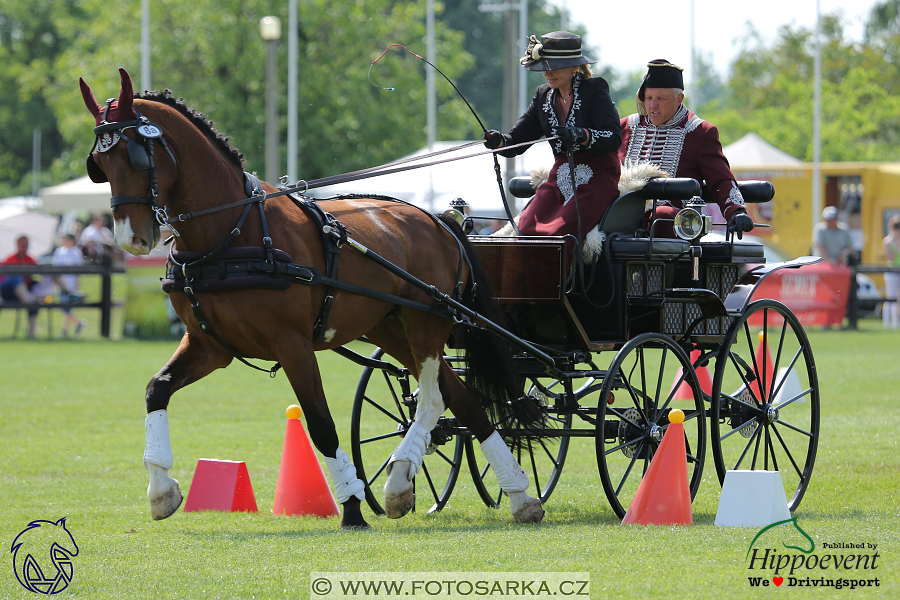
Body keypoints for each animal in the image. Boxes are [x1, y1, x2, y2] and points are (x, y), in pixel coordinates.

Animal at [79, 69, 540, 528]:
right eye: (99, 164)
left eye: (136, 157)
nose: (131, 238)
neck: (234, 232)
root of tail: (443, 220)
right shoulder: (209, 345)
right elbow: (156, 389)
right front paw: (161, 490)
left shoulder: (292, 344)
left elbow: (320, 424)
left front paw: (352, 507)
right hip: (391, 328)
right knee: (462, 398)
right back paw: (516, 494)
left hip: (427, 322)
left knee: (432, 399)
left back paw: (402, 481)